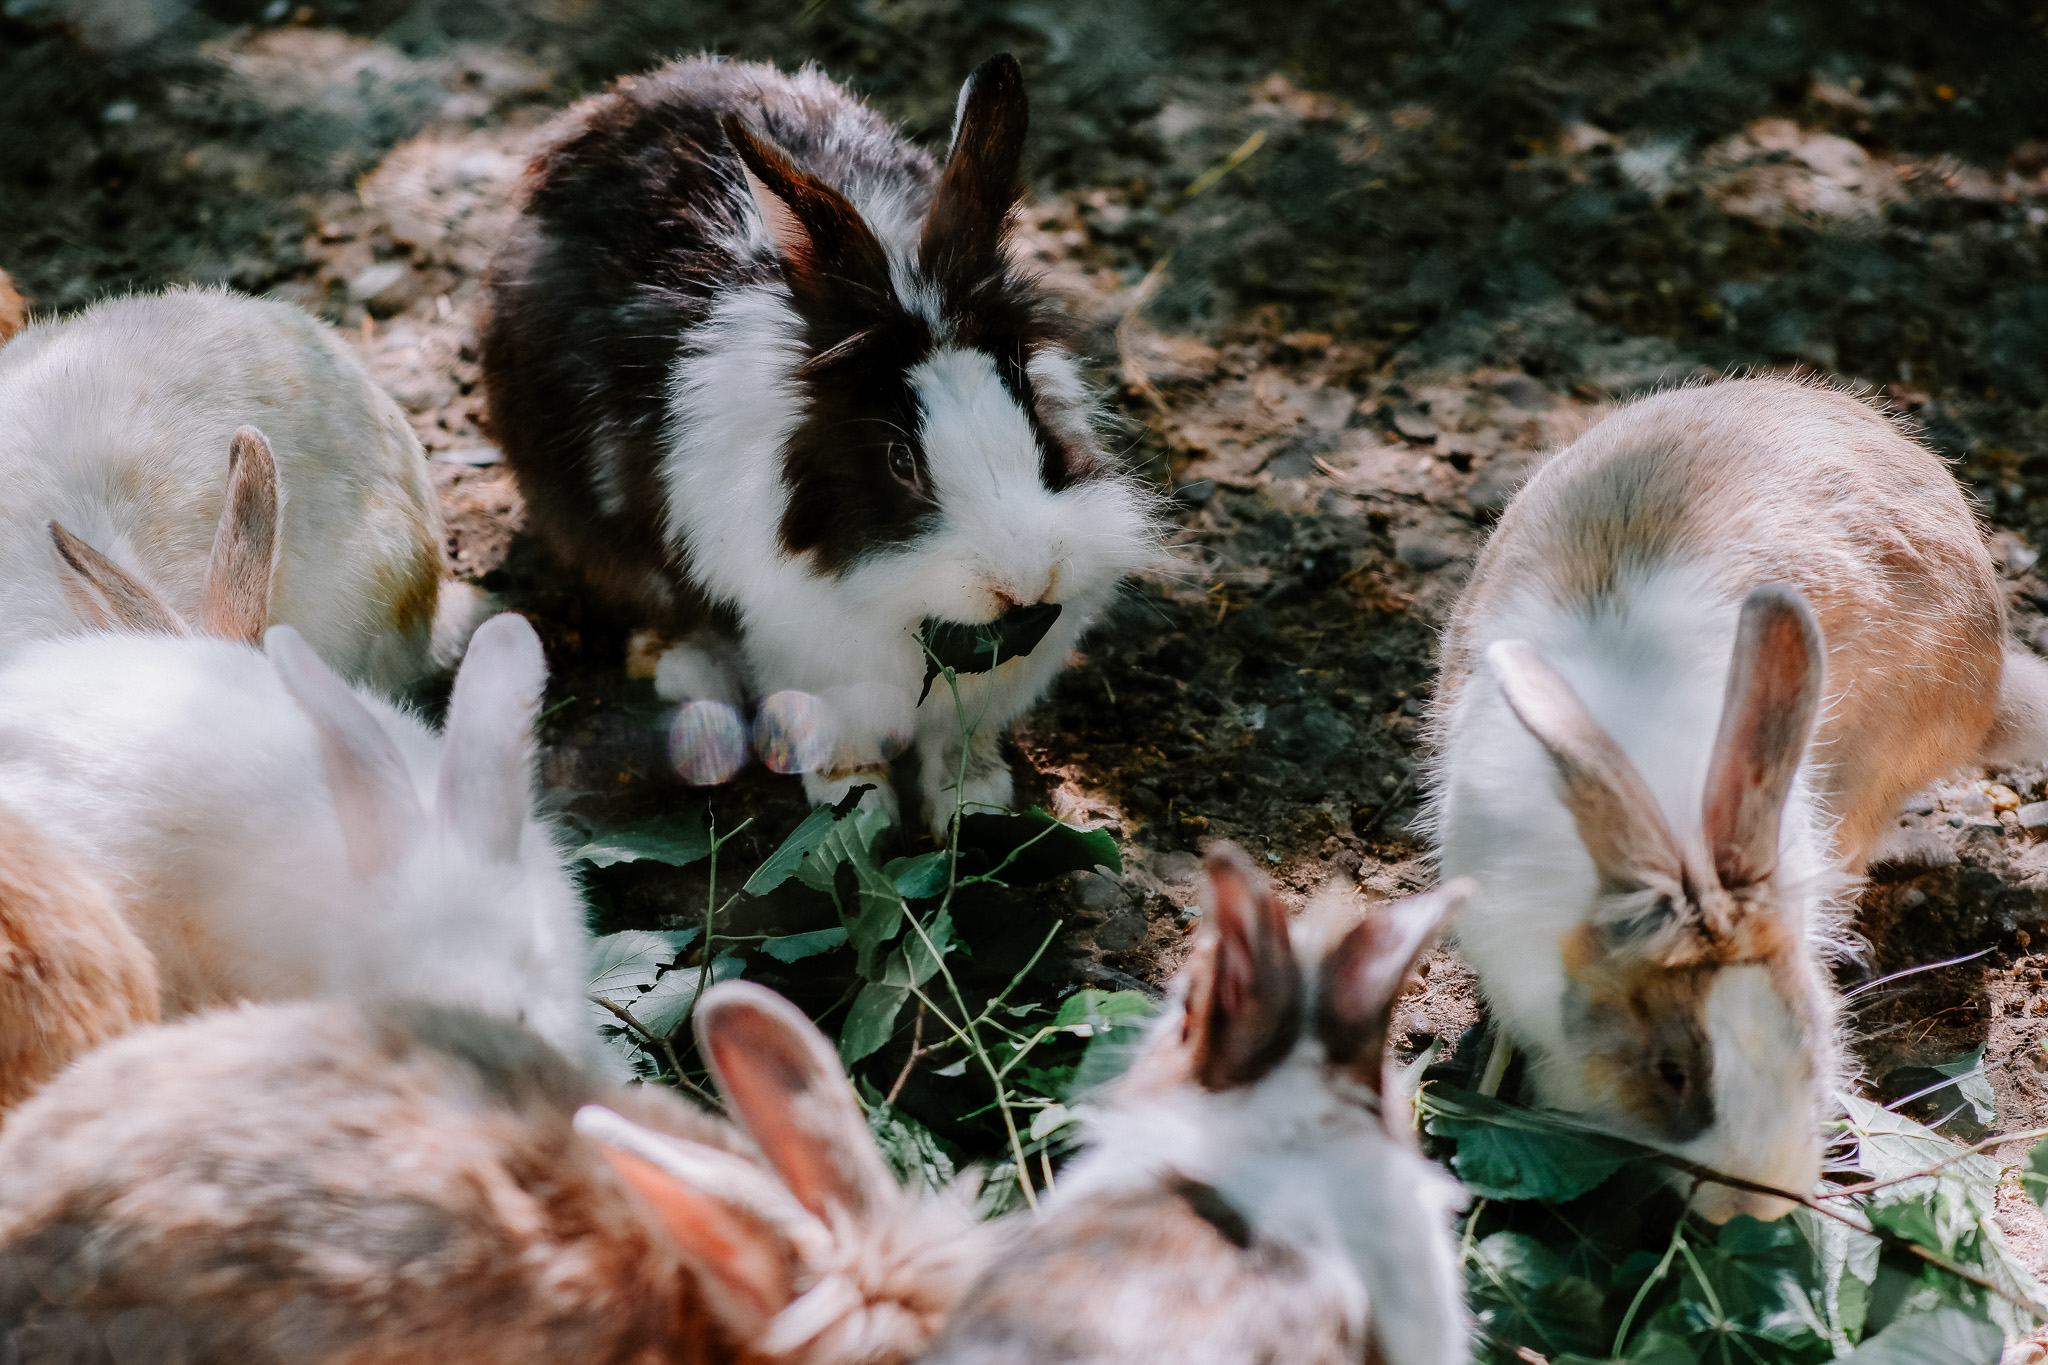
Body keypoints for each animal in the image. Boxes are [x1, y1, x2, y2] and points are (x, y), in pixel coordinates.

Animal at [481, 54, 1160, 833]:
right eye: (900, 460)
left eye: (1037, 426)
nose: (1024, 583)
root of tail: (616, 101)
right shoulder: (804, 650)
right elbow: (834, 733)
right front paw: (854, 807)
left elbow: (959, 739)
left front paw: (975, 800)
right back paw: (692, 675)